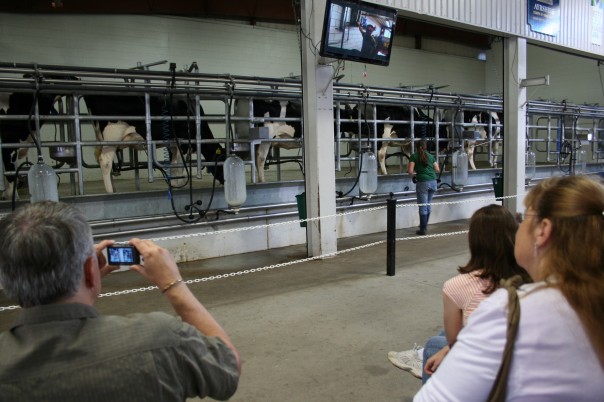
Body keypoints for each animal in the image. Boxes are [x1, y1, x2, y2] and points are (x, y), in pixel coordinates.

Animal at [83, 95, 226, 194]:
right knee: (105, 161)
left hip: (100, 137)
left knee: (99, 158)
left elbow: (174, 164)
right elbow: (179, 165)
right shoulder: (183, 142)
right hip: (113, 135)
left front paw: (174, 183)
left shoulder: (173, 144)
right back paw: (111, 191)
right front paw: (178, 184)